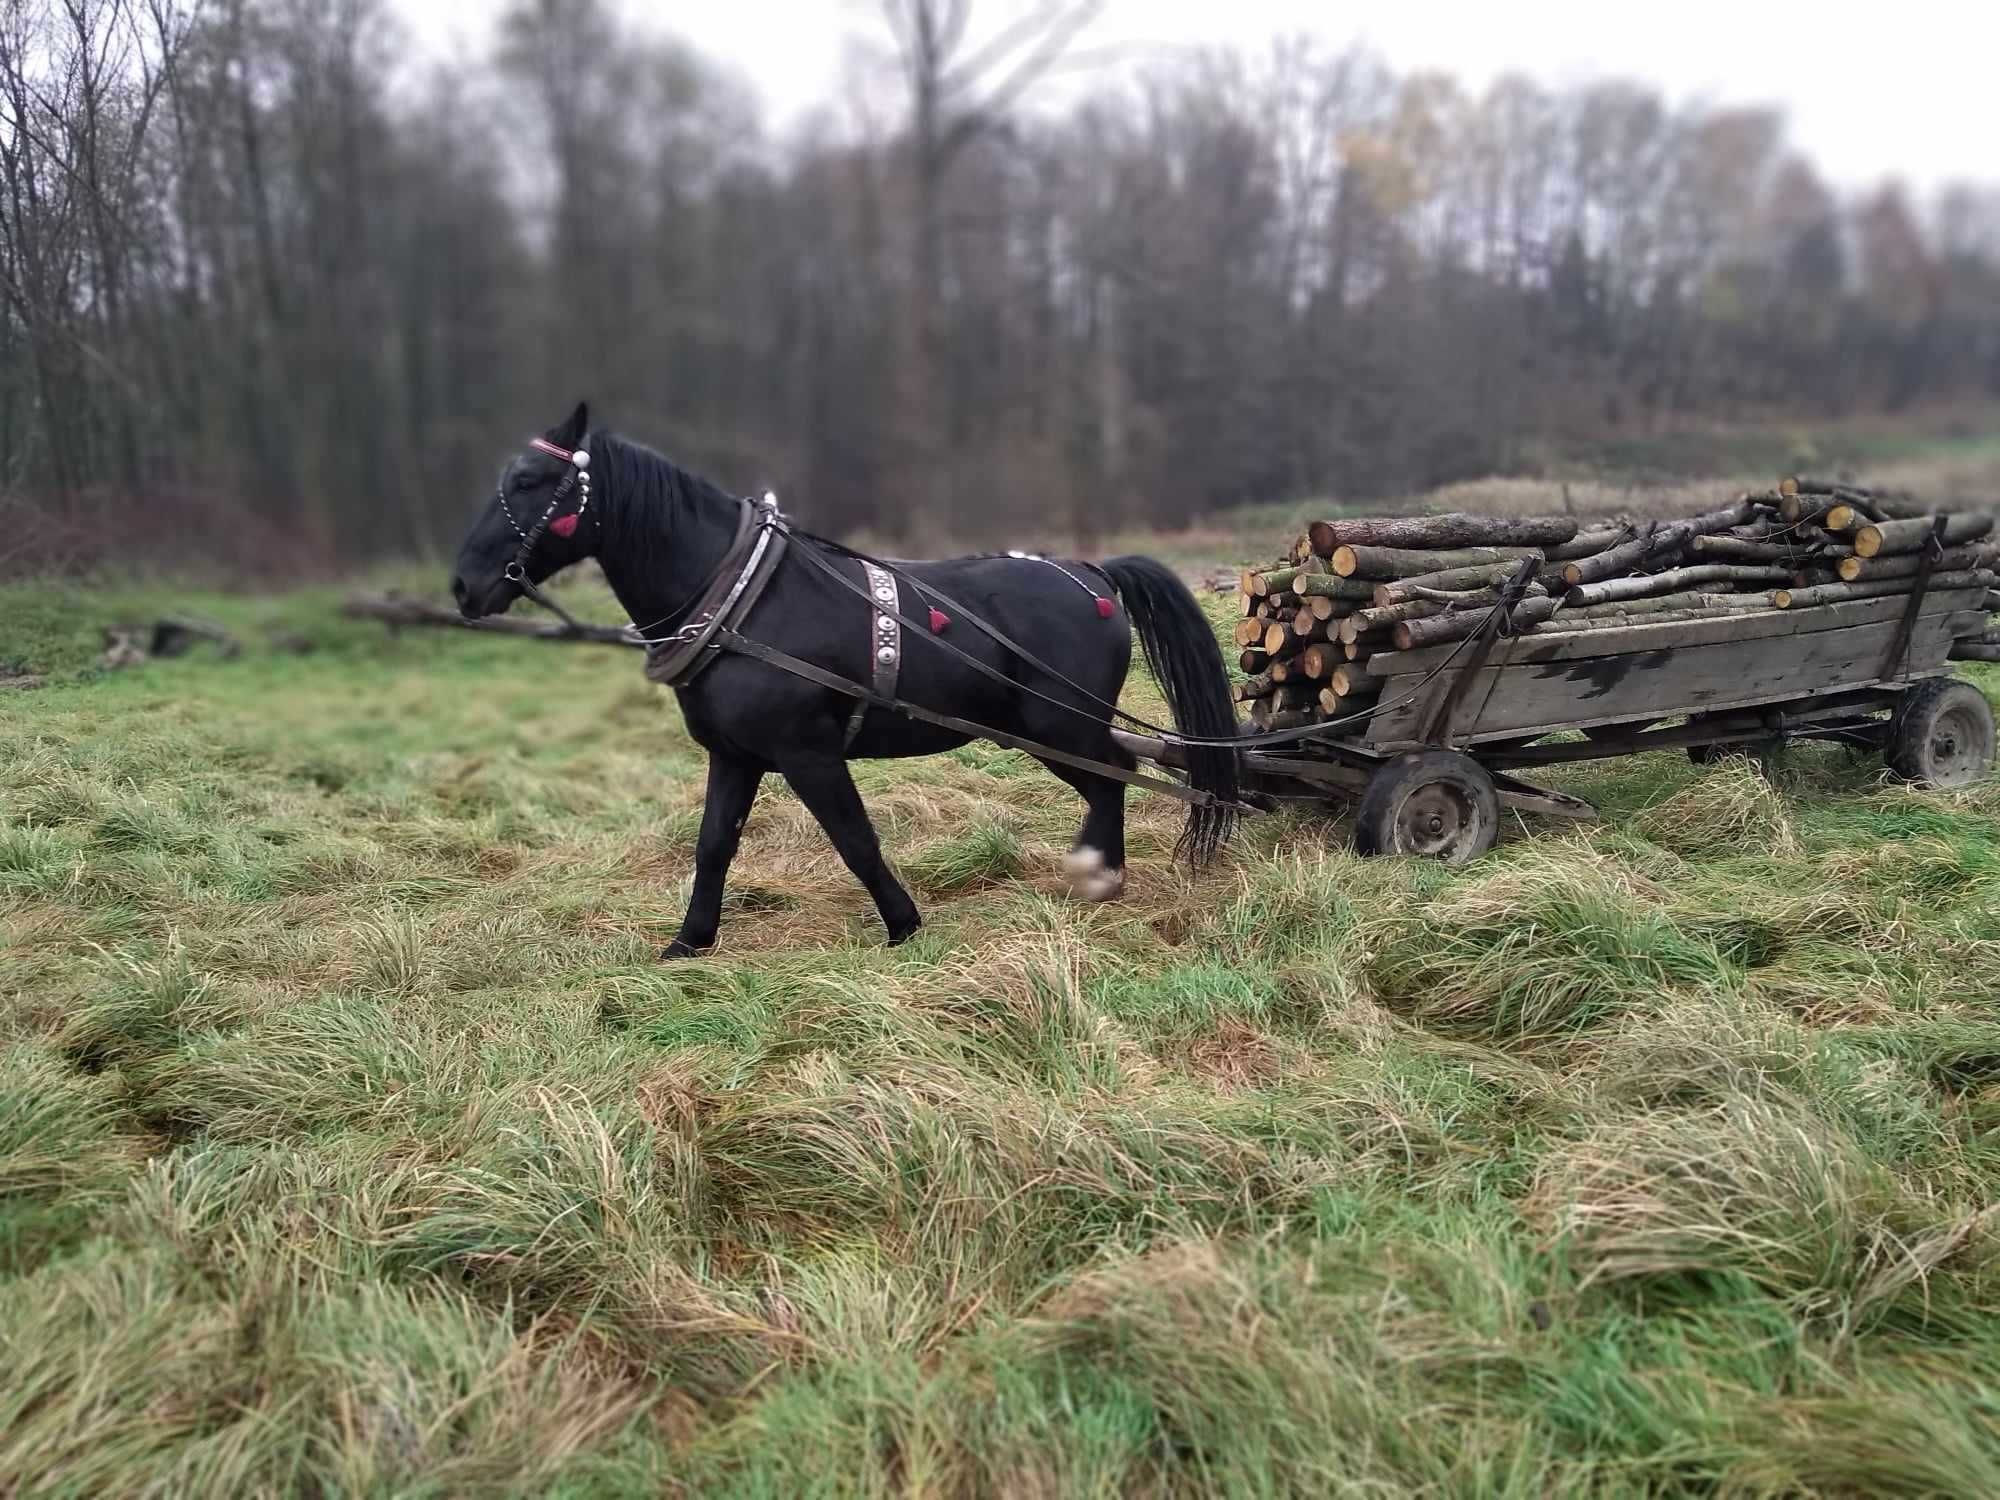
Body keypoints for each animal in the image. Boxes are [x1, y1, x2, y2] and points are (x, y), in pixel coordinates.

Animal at [454, 406, 1232, 956]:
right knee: (1119, 773)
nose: (464, 586)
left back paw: (1099, 873)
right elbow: (713, 844)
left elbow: (854, 838)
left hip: (1058, 724)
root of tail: (1094, 574)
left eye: (530, 482)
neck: (744, 600)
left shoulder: (808, 752)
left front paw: (903, 925)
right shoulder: (734, 755)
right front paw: (689, 941)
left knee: (1114, 776)